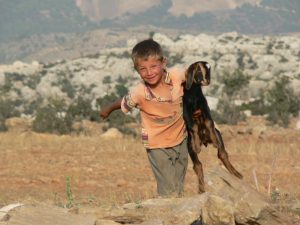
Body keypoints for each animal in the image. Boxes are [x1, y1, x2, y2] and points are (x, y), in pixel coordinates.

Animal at [182, 61, 243, 193]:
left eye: (209, 69)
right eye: (198, 70)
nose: (207, 81)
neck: (194, 96)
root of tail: (204, 141)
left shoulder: (205, 109)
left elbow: (210, 122)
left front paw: (214, 141)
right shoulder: (186, 112)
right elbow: (193, 126)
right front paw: (196, 145)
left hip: (219, 135)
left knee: (222, 154)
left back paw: (237, 174)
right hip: (188, 146)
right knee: (197, 165)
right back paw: (201, 189)